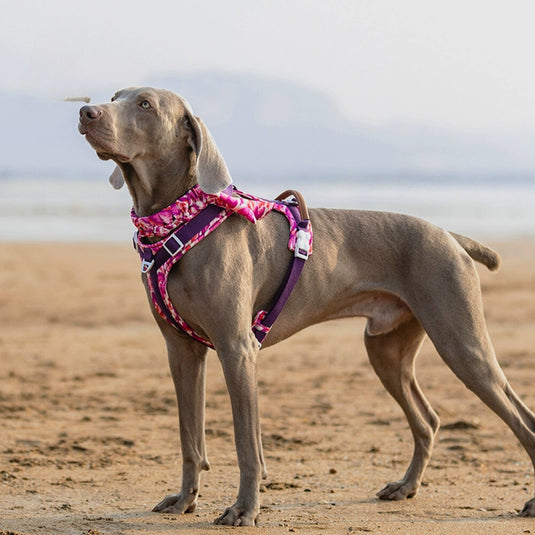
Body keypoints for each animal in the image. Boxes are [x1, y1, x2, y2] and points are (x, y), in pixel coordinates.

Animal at [77, 88, 535, 528]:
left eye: (145, 104)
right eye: (115, 96)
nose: (86, 112)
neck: (176, 223)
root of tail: (452, 236)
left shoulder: (237, 349)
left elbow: (247, 445)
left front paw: (244, 511)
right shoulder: (182, 352)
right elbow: (191, 439)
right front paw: (185, 500)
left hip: (462, 343)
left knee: (519, 415)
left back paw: (527, 501)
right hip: (386, 349)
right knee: (428, 420)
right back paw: (405, 487)